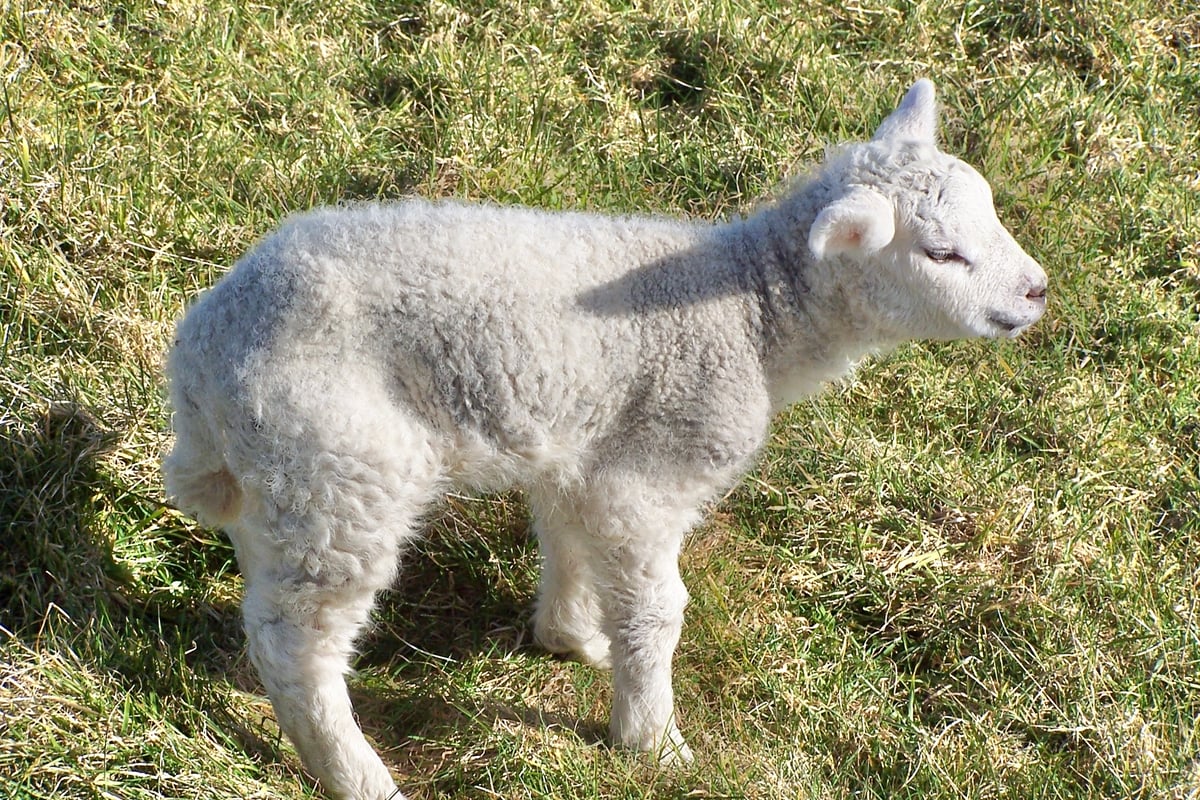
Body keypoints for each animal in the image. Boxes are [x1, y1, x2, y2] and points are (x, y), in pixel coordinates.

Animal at [163, 79, 1048, 800]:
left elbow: (568, 541)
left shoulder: (582, 448)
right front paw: (651, 741)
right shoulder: (652, 470)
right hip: (342, 468)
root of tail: (202, 354)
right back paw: (359, 775)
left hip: (285, 480)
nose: (1039, 291)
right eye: (942, 253)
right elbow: (656, 610)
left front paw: (571, 637)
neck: (754, 311)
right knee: (296, 644)